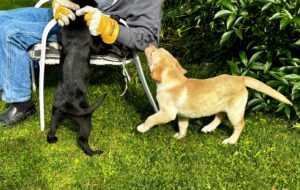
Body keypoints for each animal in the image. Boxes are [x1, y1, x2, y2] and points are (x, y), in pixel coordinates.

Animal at [46, 0, 107, 156]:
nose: (97, 4)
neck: (77, 22)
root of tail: (66, 104)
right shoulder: (95, 45)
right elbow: (100, 43)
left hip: (55, 113)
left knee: (51, 130)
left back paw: (53, 138)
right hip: (85, 118)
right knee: (82, 140)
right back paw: (94, 153)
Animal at [137, 45, 292, 144]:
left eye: (152, 53)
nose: (149, 44)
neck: (173, 79)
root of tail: (239, 78)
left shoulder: (167, 113)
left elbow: (150, 118)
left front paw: (142, 128)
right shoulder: (182, 114)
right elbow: (183, 126)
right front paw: (180, 136)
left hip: (234, 111)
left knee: (240, 124)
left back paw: (231, 140)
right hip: (222, 105)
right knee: (219, 116)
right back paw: (208, 127)